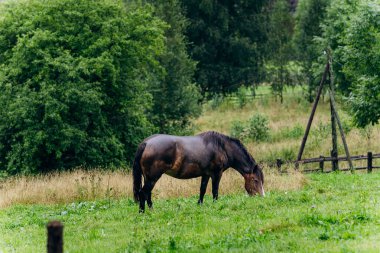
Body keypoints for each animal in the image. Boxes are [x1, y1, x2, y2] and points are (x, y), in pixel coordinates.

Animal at [133, 130, 264, 211]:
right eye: (255, 180)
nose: (261, 197)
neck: (221, 147)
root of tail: (146, 143)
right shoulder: (217, 174)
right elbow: (215, 191)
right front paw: (215, 205)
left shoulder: (206, 174)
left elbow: (202, 190)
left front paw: (199, 205)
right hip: (153, 177)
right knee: (143, 193)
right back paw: (143, 212)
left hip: (148, 177)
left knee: (147, 194)